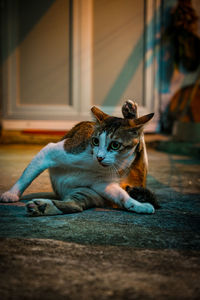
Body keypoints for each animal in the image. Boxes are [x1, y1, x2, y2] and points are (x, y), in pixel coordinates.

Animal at [0, 101, 159, 216]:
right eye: (95, 141)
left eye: (115, 145)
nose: (100, 157)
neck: (93, 164)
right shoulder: (54, 150)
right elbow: (27, 175)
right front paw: (11, 194)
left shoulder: (103, 183)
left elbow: (122, 195)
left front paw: (137, 205)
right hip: (86, 192)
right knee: (74, 205)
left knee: (140, 148)